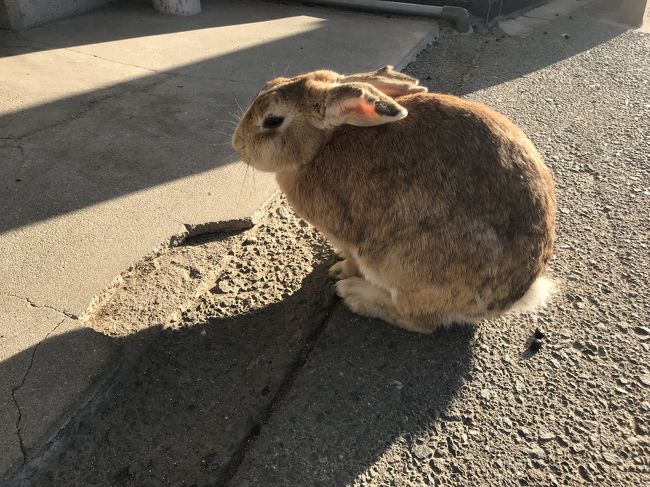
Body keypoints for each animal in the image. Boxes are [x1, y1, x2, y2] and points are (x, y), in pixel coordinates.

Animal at [230, 66, 556, 332]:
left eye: (272, 121)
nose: (238, 145)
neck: (322, 145)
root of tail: (511, 298)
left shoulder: (348, 237)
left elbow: (351, 259)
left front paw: (339, 271)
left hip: (403, 265)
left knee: (419, 321)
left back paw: (355, 294)